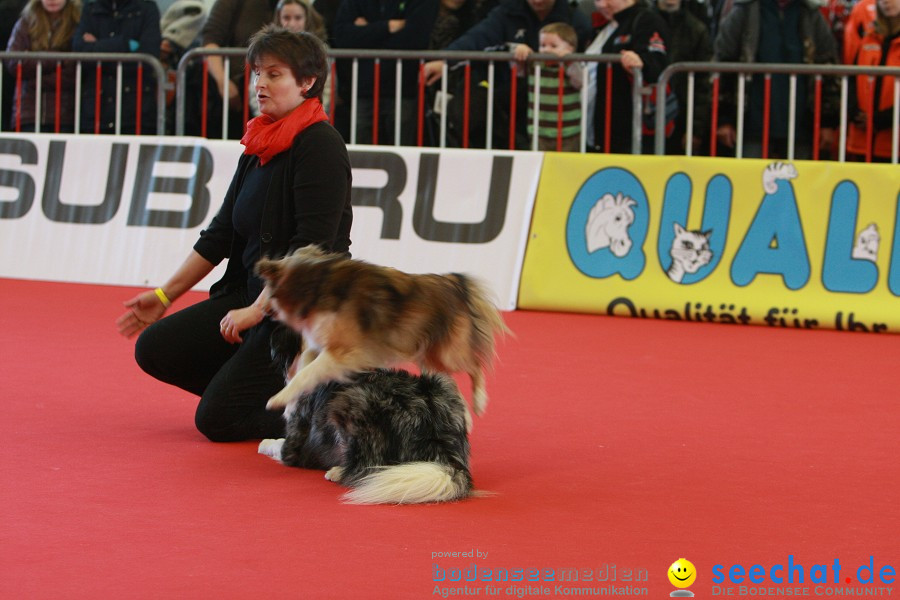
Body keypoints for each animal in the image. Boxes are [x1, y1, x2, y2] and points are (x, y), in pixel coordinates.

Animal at [255, 245, 506, 426]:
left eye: (265, 290)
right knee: (451, 381)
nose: (261, 310)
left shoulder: (342, 353)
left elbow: (305, 374)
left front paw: (278, 399)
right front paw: (290, 404)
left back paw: (479, 402)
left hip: (445, 354)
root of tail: (454, 284)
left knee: (475, 365)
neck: (315, 283)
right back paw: (466, 417)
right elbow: (304, 366)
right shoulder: (320, 345)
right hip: (427, 355)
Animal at [256, 326, 474, 504]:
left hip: (349, 403)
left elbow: (277, 445)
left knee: (364, 469)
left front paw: (264, 443)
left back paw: (338, 471)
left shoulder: (294, 445)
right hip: (443, 383)